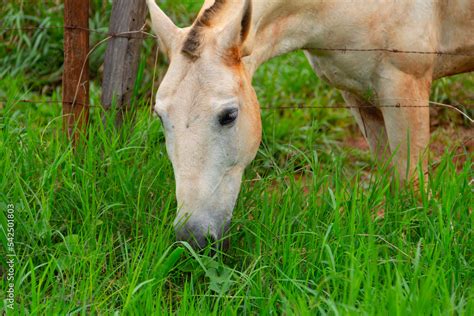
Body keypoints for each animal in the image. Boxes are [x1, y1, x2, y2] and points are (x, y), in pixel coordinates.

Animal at [146, 0, 474, 247]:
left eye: (229, 115)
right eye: (160, 116)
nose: (192, 236)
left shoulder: (405, 87)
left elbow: (412, 188)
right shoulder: (359, 94)